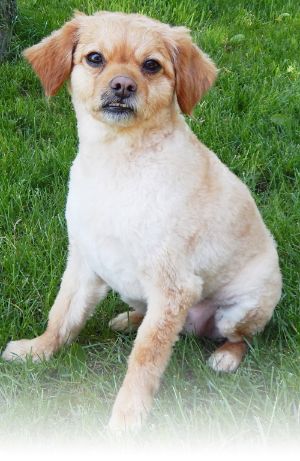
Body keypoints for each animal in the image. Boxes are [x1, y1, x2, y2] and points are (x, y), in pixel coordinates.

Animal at [2, 10, 282, 430]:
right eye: (95, 58)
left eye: (151, 65)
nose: (122, 85)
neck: (117, 162)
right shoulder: (84, 261)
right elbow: (62, 316)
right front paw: (37, 351)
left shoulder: (174, 286)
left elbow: (144, 360)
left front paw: (127, 419)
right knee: (149, 318)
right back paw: (129, 319)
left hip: (240, 310)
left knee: (242, 337)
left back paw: (226, 357)